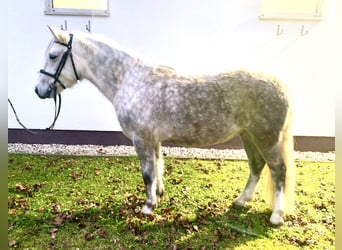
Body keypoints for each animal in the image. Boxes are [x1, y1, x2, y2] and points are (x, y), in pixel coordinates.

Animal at [36, 26, 296, 226]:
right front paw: (159, 195)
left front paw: (148, 206)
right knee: (257, 165)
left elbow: (147, 173)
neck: (130, 80)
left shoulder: (141, 139)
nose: (39, 90)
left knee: (278, 170)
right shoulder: (154, 140)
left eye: (53, 55)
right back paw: (242, 200)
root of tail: (280, 83)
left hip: (266, 138)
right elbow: (157, 166)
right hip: (248, 135)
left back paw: (276, 216)